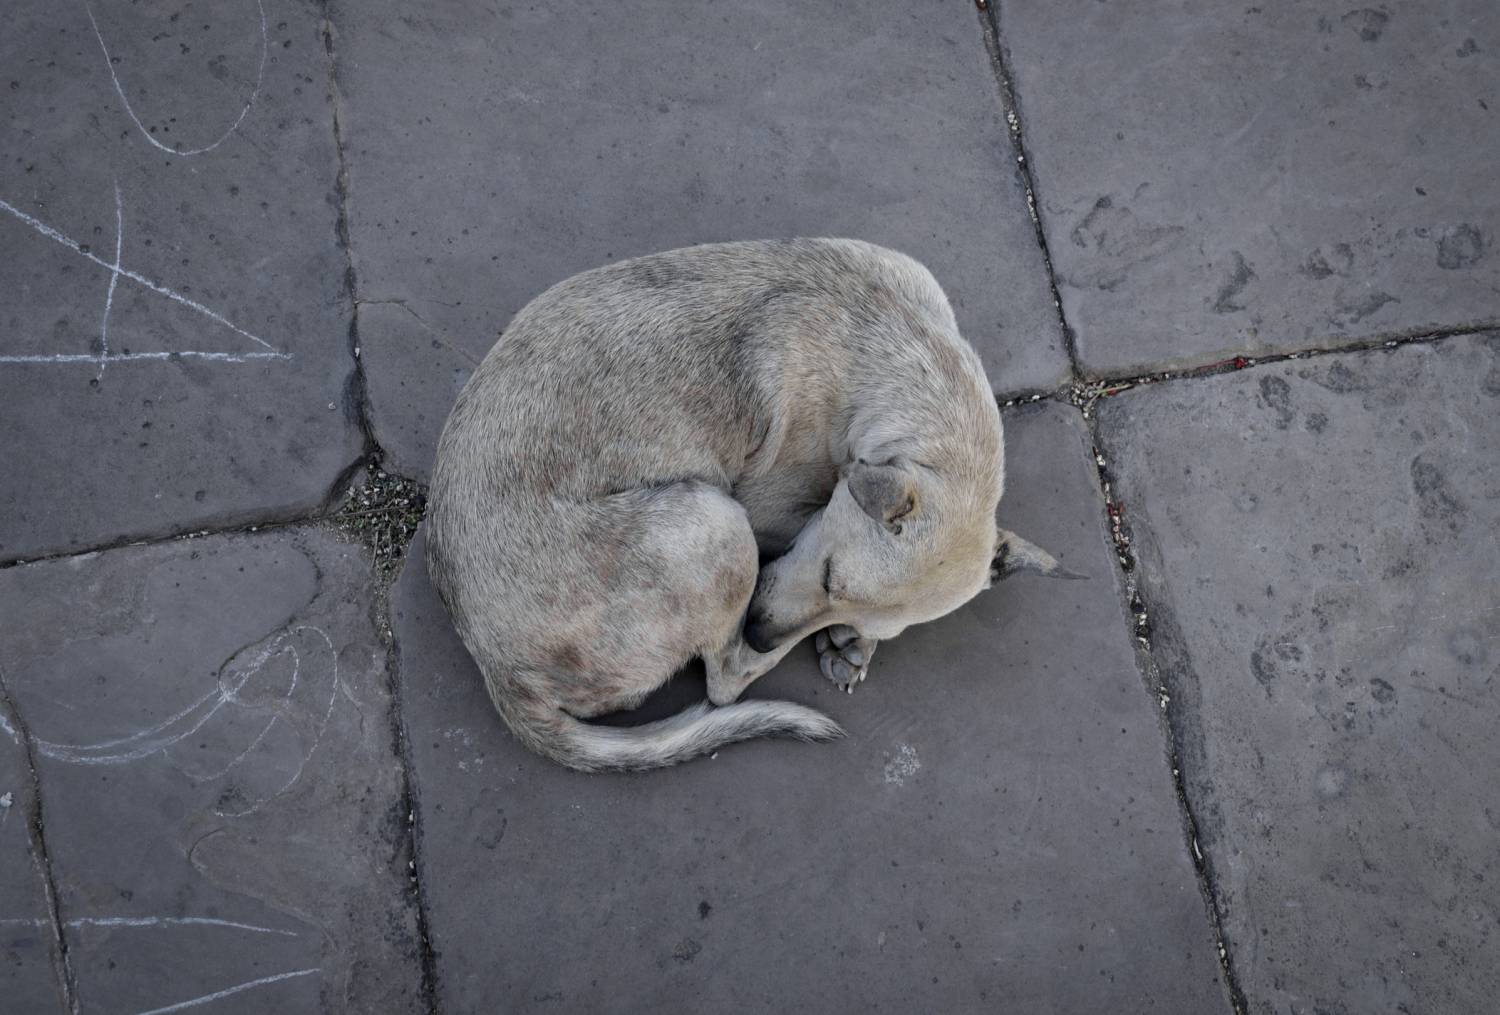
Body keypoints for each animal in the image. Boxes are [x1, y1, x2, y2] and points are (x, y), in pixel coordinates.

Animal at [426, 239, 1080, 773]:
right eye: (829, 574)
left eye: (838, 589)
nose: (761, 631)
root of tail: (505, 678)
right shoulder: (770, 511)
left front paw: (852, 643)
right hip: (712, 523)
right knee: (723, 683)